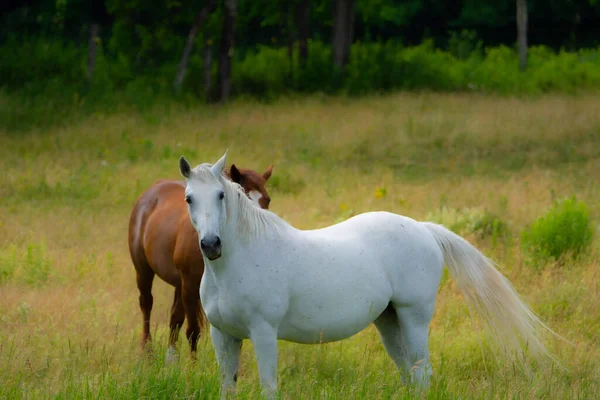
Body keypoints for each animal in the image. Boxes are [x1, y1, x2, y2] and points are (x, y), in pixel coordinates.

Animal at [130, 162, 276, 360]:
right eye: (243, 197)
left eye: (267, 200)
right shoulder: (190, 285)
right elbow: (193, 331)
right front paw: (193, 365)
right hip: (144, 270)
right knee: (146, 304)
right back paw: (147, 350)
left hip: (179, 284)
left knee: (175, 317)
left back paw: (171, 358)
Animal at [178, 150, 556, 396]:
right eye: (189, 199)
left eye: (221, 195)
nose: (211, 244)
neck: (239, 262)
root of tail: (424, 228)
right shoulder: (224, 336)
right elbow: (228, 387)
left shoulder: (264, 333)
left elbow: (269, 388)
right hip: (389, 321)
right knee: (408, 374)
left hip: (414, 318)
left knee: (422, 373)